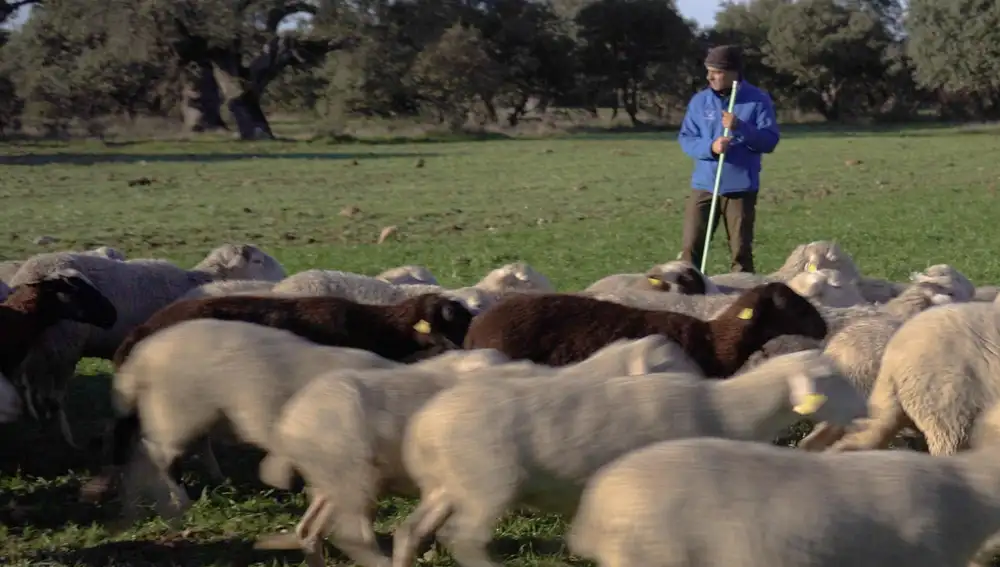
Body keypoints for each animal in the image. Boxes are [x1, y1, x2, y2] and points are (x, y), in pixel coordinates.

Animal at [8, 242, 286, 446]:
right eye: (258, 260)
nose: (284, 275)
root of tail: (25, 275)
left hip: (42, 348)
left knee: (31, 388)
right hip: (63, 345)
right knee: (52, 397)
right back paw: (67, 439)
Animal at [260, 336, 696, 567]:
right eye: (674, 366)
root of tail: (291, 422)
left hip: (334, 481)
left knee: (311, 529)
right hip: (353, 478)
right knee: (352, 534)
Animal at [390, 350, 868, 567]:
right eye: (830, 379)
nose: (867, 410)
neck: (728, 408)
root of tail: (424, 425)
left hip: (449, 485)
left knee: (410, 530)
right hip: (487, 483)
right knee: (465, 538)